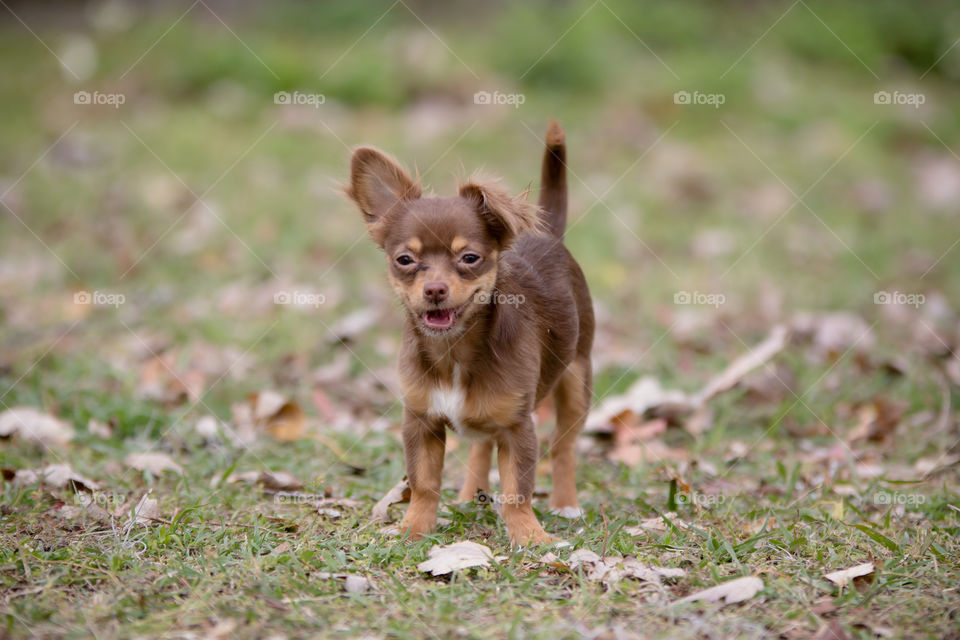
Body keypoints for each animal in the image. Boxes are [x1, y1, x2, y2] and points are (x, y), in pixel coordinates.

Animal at [348, 122, 592, 544]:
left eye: (469, 258)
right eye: (405, 260)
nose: (434, 290)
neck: (454, 351)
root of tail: (550, 237)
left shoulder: (517, 427)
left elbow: (517, 490)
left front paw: (529, 536)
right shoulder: (421, 422)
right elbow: (424, 482)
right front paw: (414, 527)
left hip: (577, 381)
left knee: (563, 446)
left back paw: (566, 504)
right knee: (481, 446)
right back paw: (468, 496)